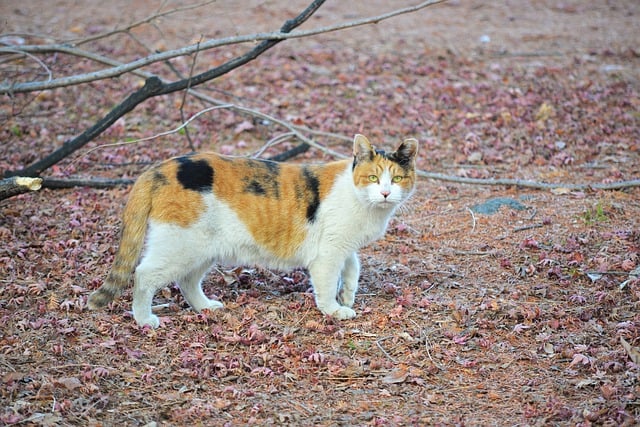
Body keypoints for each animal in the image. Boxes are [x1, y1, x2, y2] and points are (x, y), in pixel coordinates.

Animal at [89, 134, 420, 328]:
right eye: (373, 177)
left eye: (397, 178)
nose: (386, 193)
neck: (360, 198)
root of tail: (158, 169)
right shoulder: (328, 253)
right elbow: (327, 284)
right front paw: (334, 310)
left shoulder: (343, 246)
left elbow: (354, 266)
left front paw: (348, 294)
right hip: (179, 245)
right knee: (144, 274)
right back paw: (145, 319)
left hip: (202, 249)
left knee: (187, 280)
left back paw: (206, 307)